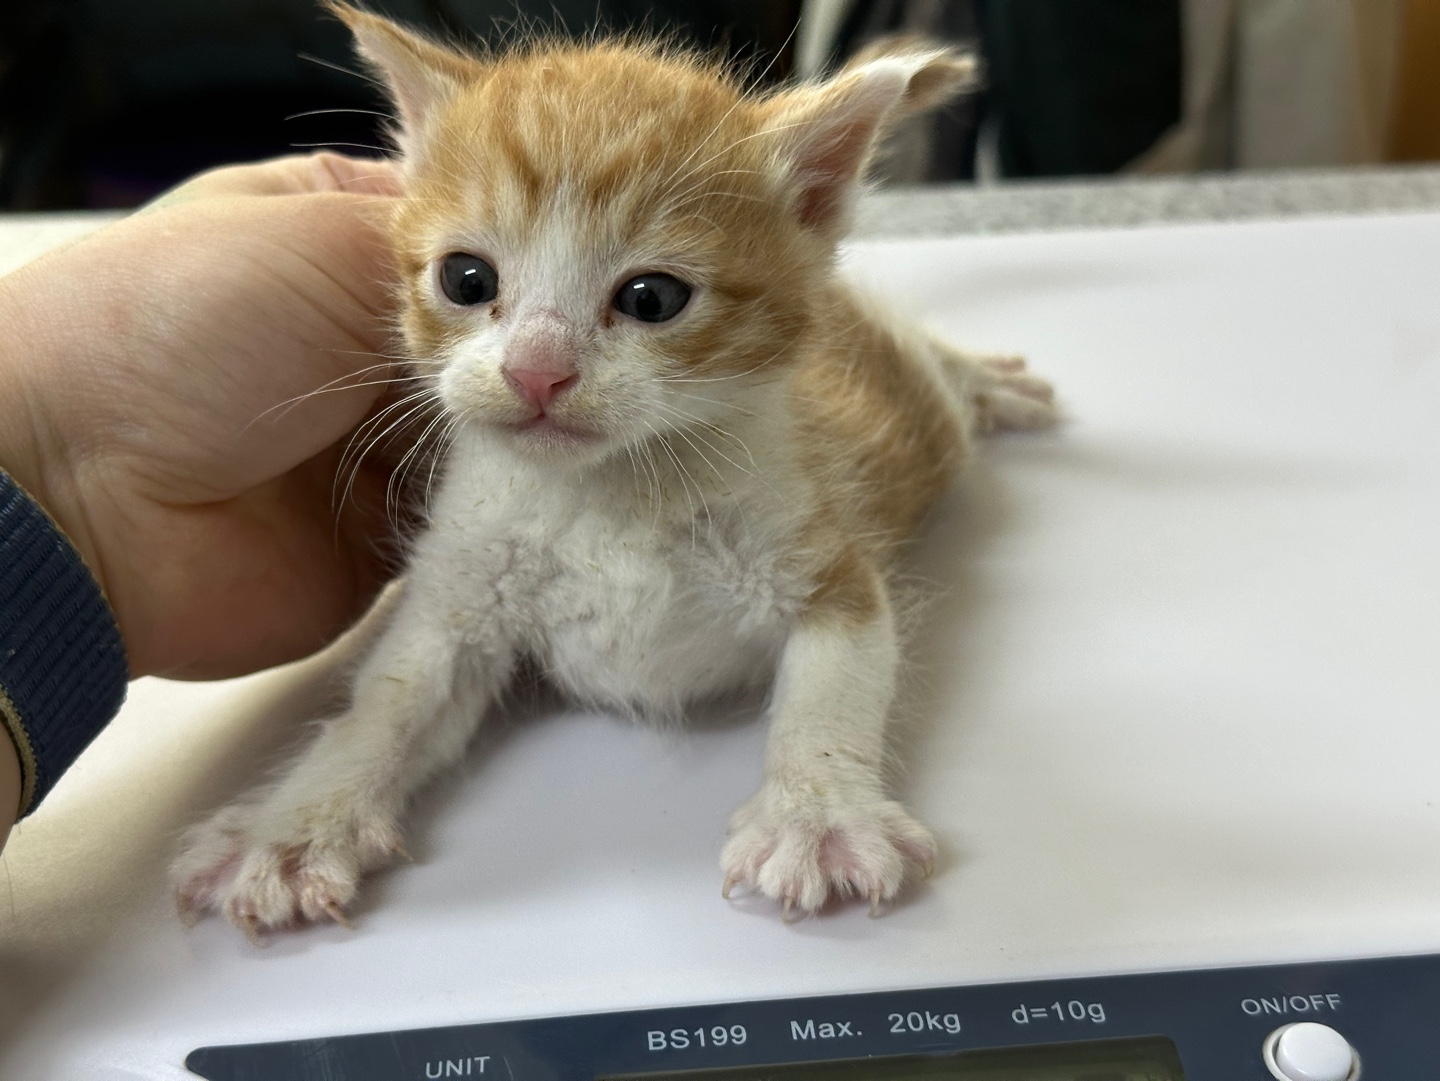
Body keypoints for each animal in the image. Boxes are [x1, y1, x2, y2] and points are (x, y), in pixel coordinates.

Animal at [171, 6, 1059, 938]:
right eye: (465, 278)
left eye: (651, 298)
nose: (536, 370)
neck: (610, 494)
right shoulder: (465, 590)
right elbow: (389, 697)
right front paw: (292, 822)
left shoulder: (825, 557)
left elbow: (836, 681)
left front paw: (817, 813)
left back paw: (983, 381)